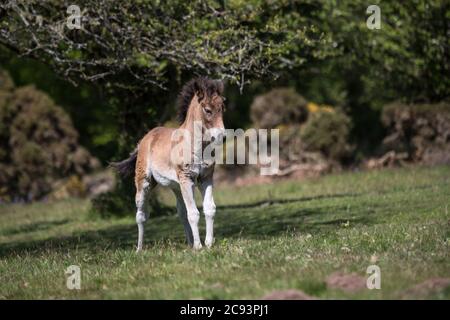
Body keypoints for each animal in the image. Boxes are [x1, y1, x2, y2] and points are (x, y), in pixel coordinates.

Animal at [111, 78, 225, 252]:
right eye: (207, 110)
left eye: (222, 107)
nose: (222, 137)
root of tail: (145, 138)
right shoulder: (186, 179)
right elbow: (194, 213)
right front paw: (199, 246)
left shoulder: (205, 178)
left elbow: (209, 208)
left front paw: (208, 243)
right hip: (144, 182)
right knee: (141, 214)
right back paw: (139, 249)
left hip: (176, 186)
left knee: (181, 212)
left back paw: (189, 243)